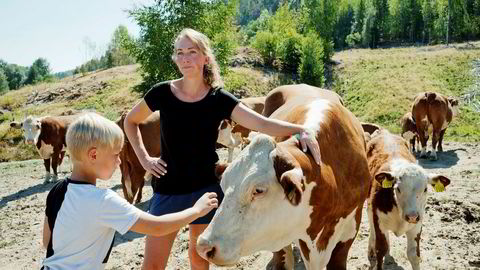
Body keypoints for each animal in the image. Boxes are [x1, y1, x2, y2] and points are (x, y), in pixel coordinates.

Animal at [366, 130, 452, 268]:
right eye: (398, 189)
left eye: (425, 189)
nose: (412, 216)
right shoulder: (379, 222)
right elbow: (380, 250)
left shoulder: (416, 226)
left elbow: (413, 255)